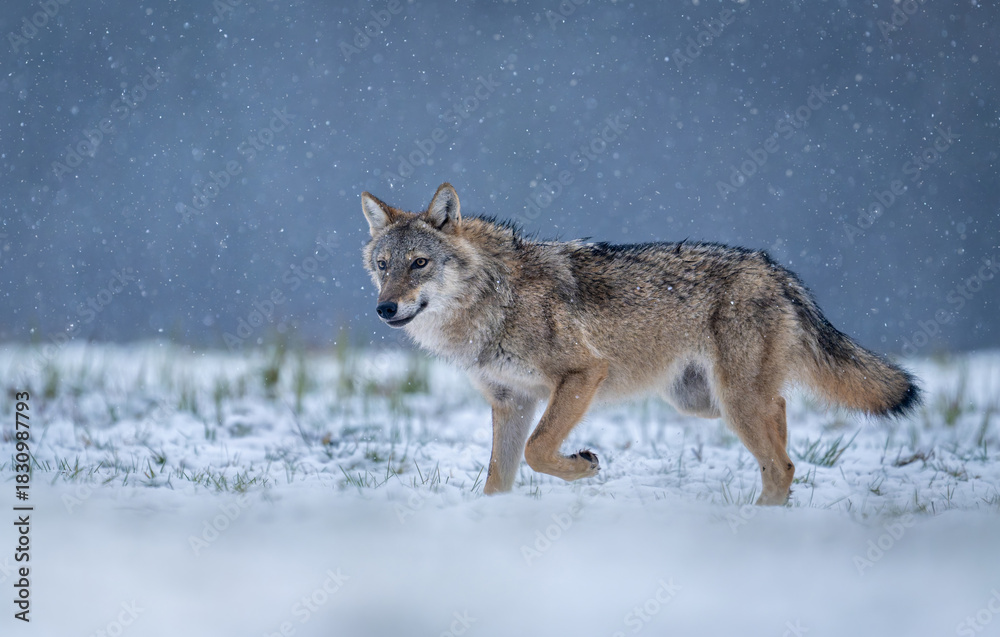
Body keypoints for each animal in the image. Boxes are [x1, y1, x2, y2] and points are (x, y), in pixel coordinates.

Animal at [360, 183, 920, 505]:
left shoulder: (583, 373)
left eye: (420, 263)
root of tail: (777, 271)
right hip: (706, 402)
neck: (492, 300)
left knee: (781, 465)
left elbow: (540, 451)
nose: (385, 309)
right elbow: (498, 480)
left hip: (732, 401)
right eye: (384, 266)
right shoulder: (510, 401)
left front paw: (584, 467)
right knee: (782, 431)